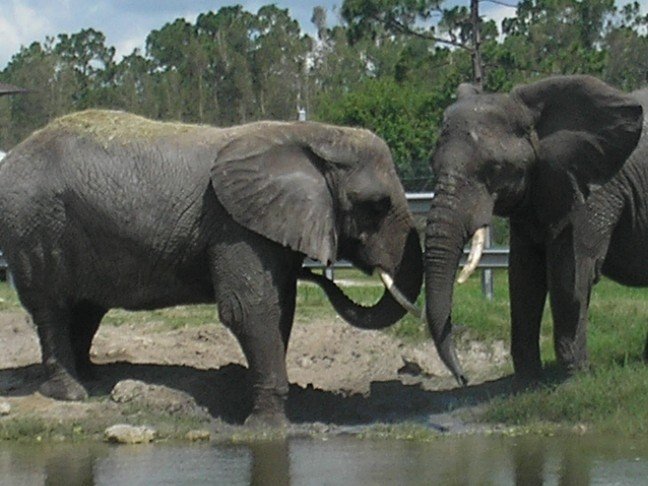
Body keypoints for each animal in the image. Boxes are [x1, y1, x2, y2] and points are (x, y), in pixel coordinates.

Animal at [0, 110, 422, 425]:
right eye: (377, 206)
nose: (320, 271)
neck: (312, 133)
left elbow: (280, 308)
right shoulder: (234, 225)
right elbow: (249, 309)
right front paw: (267, 427)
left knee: (87, 308)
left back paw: (93, 376)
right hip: (34, 227)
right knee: (52, 308)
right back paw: (72, 393)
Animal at [423, 75, 645, 385]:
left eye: (494, 168)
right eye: (432, 165)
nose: (463, 378)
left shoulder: (591, 188)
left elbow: (570, 273)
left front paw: (574, 382)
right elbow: (523, 276)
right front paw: (528, 382)